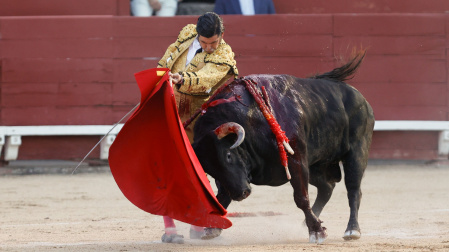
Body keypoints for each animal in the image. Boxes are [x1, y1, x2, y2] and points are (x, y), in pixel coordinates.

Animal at [191, 50, 372, 242]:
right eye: (209, 169)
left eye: (228, 155)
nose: (241, 194)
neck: (251, 121)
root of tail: (360, 97)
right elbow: (221, 196)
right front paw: (211, 228)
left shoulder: (296, 159)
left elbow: (301, 197)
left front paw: (317, 232)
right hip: (315, 165)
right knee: (326, 188)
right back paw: (310, 221)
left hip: (356, 153)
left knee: (353, 190)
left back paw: (352, 230)